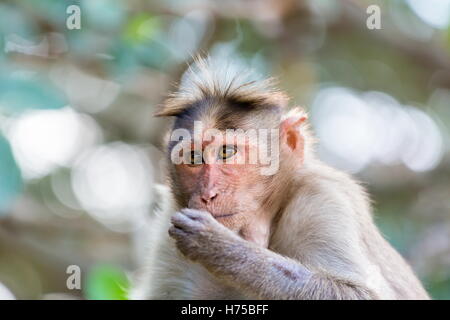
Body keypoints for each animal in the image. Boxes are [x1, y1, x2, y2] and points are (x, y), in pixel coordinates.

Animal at [129, 57, 428, 300]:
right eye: (193, 157)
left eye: (227, 152)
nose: (207, 194)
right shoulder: (167, 228)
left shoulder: (322, 201)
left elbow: (359, 293)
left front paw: (222, 248)